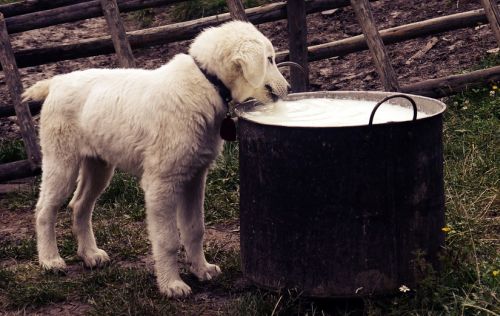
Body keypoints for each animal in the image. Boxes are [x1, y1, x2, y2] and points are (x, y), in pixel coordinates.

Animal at [22, 21, 290, 298]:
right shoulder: (162, 183)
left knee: (79, 205)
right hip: (61, 160)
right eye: (269, 59)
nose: (289, 89)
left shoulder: (195, 176)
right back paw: (50, 260)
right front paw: (171, 284)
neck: (206, 82)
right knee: (45, 209)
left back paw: (90, 255)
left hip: (98, 165)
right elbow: (168, 239)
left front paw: (201, 270)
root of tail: (57, 81)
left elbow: (195, 229)